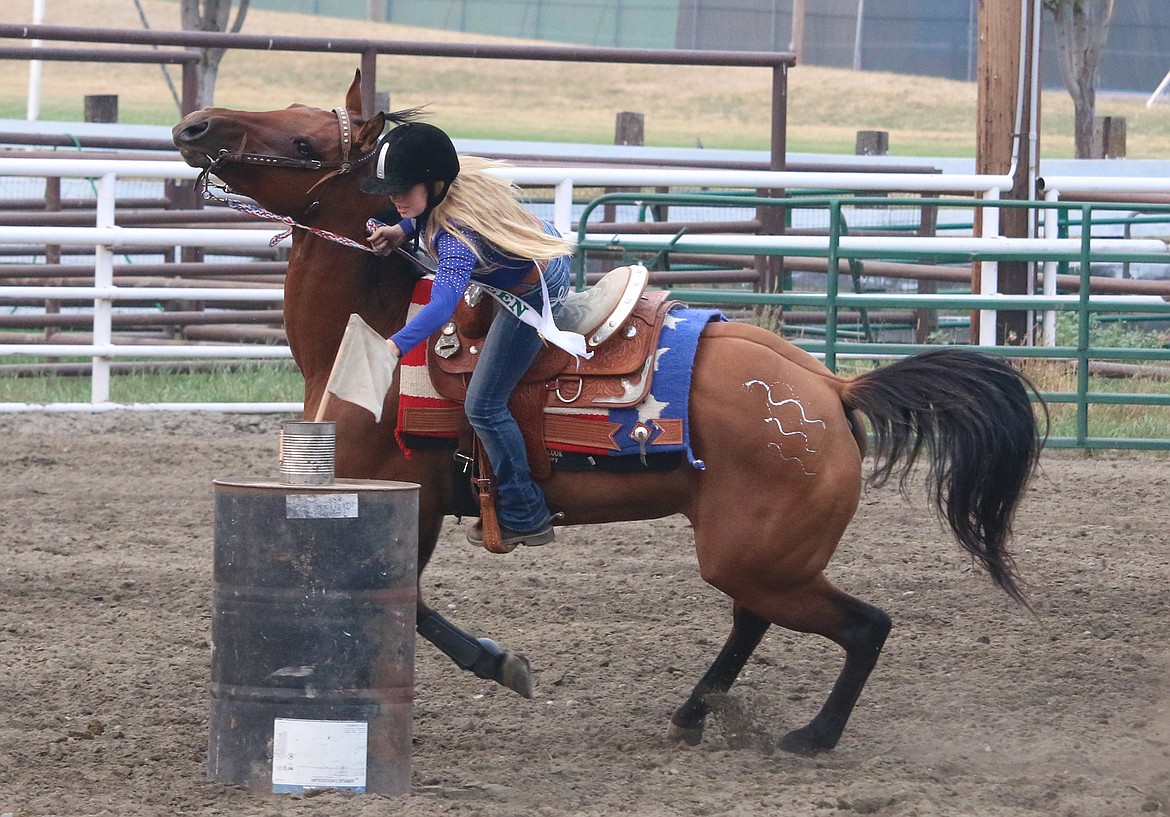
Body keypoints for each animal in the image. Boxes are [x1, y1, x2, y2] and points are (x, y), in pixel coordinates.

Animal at [170, 71, 1043, 758]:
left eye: (306, 141)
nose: (195, 125)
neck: (372, 338)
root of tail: (830, 389)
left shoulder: (402, 505)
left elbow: (410, 607)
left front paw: (504, 665)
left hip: (757, 554)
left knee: (864, 625)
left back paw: (810, 735)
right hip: (759, 552)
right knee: (755, 620)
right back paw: (696, 710)